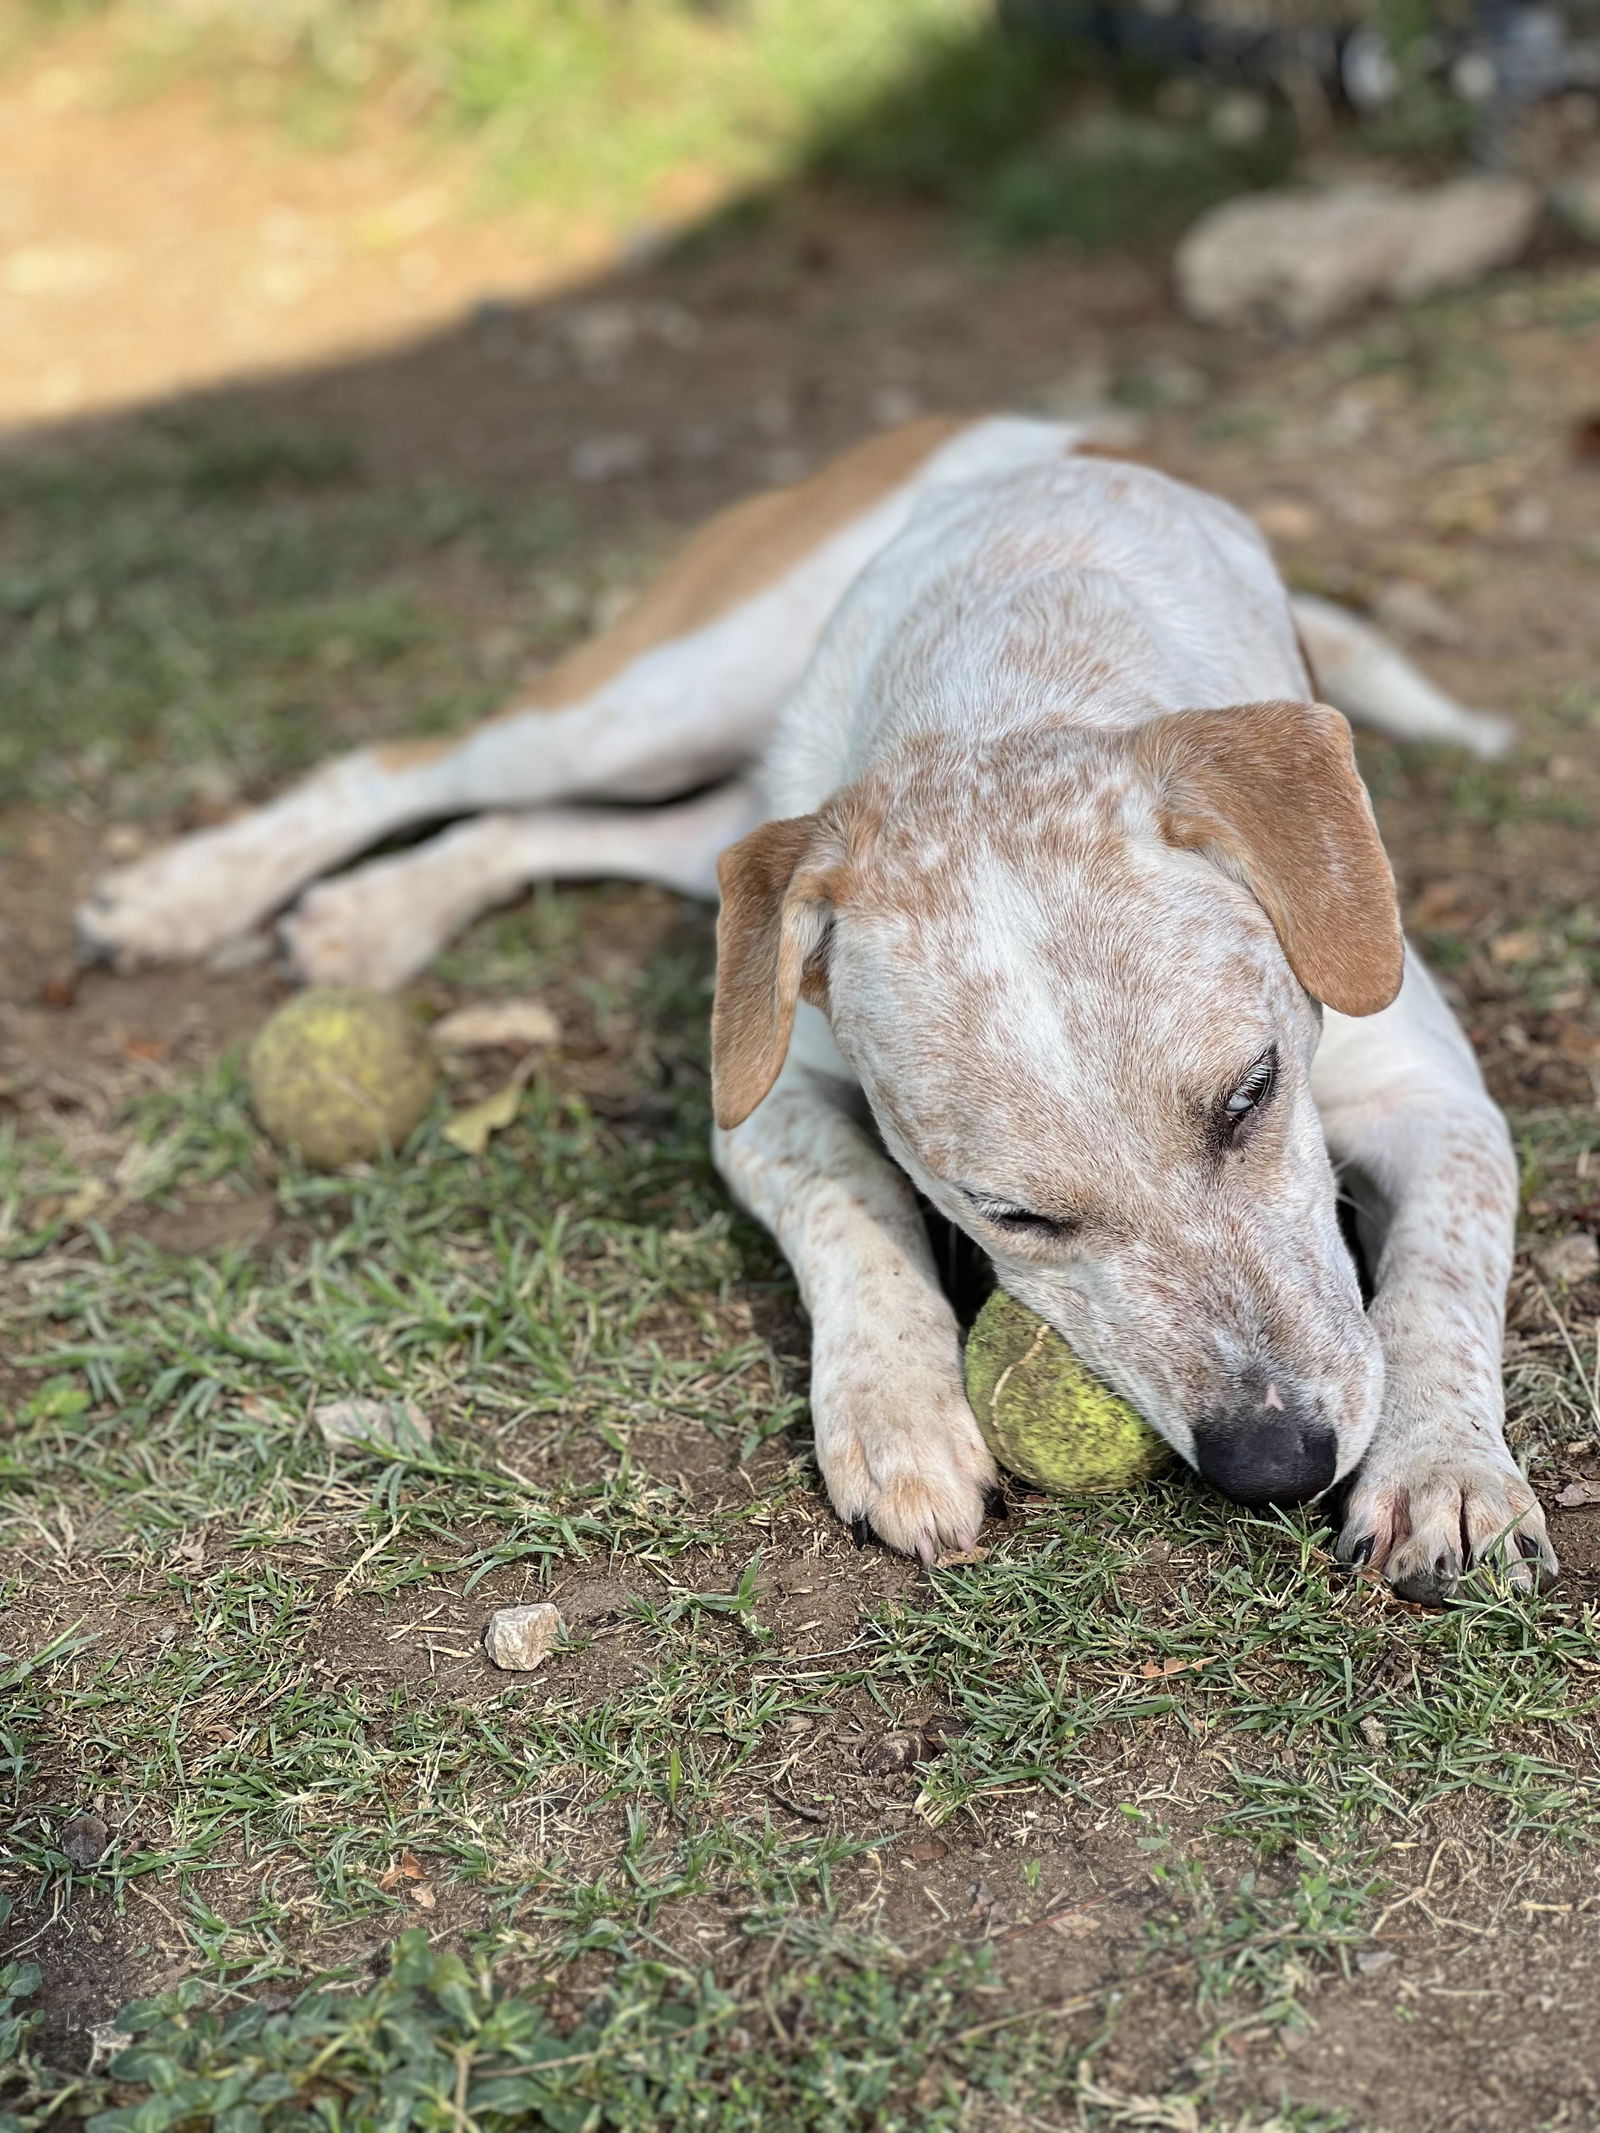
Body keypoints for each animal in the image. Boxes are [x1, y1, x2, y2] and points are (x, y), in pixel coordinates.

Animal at [78, 411, 1570, 1604]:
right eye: (1013, 1216)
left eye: (1250, 1096)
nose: (1276, 1461)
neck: (1014, 668)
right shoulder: (765, 1094)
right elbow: (855, 1213)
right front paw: (900, 1412)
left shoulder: (1433, 1094)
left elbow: (1438, 1281)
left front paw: (1445, 1470)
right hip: (659, 710)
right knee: (410, 764)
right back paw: (193, 892)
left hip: (723, 805)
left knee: (575, 826)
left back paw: (371, 911)